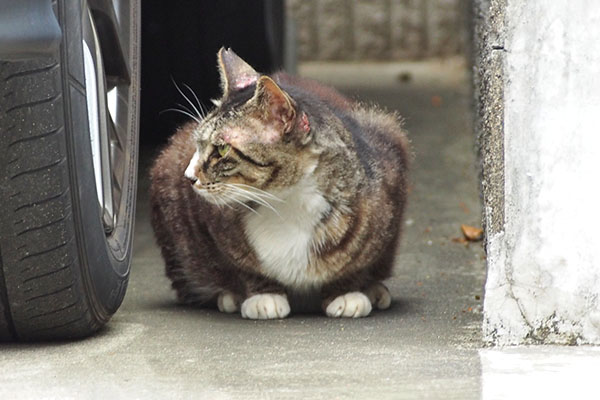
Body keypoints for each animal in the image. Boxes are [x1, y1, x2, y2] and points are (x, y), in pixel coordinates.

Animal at [152, 49, 410, 318]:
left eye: (221, 149)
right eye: (198, 145)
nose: (188, 176)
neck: (287, 202)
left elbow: (358, 262)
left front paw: (346, 293)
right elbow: (239, 265)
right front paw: (262, 295)